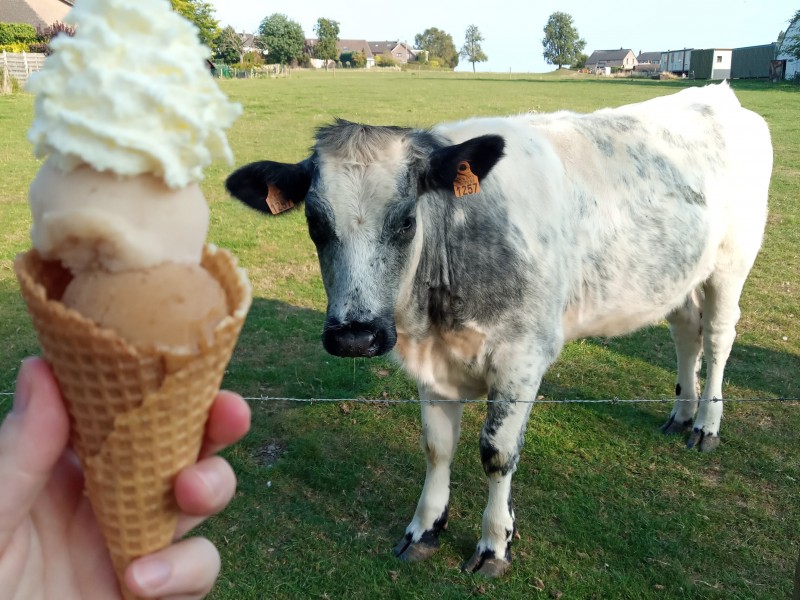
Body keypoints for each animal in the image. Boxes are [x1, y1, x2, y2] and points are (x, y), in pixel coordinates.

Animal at [223, 82, 768, 580]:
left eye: (406, 221)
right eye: (315, 223)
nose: (355, 336)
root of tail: (717, 94)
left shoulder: (522, 357)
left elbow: (497, 452)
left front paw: (495, 542)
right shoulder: (432, 363)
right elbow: (437, 445)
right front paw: (424, 528)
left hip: (731, 264)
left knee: (718, 339)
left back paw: (705, 424)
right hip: (678, 275)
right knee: (686, 333)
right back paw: (681, 413)